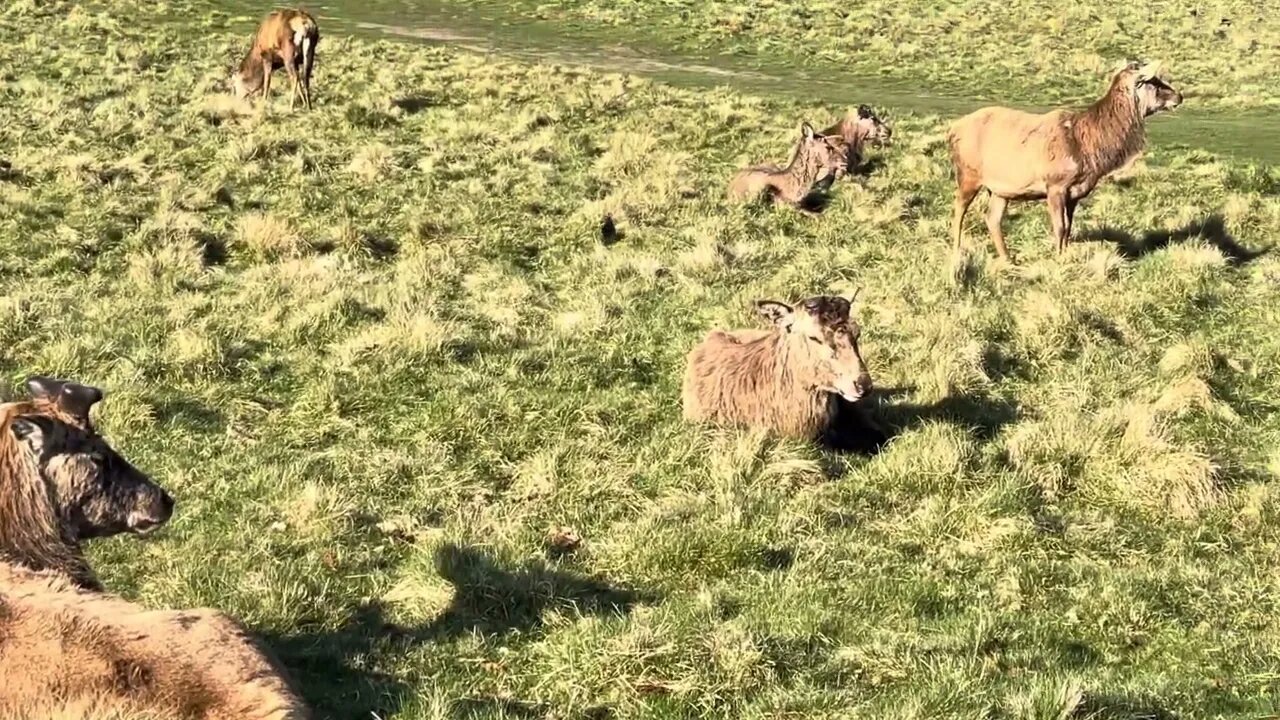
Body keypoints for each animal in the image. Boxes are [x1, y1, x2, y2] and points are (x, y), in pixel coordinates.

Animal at [947, 59, 1182, 260]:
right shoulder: (1055, 184)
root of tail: (952, 129)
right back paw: (957, 250)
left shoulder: (1075, 192)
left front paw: (1065, 255)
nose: (1179, 96)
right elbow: (1059, 227)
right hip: (968, 173)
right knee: (958, 208)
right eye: (1152, 81)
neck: (1089, 148)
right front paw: (1058, 259)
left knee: (992, 218)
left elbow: (1069, 228)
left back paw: (1008, 259)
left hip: (1000, 188)